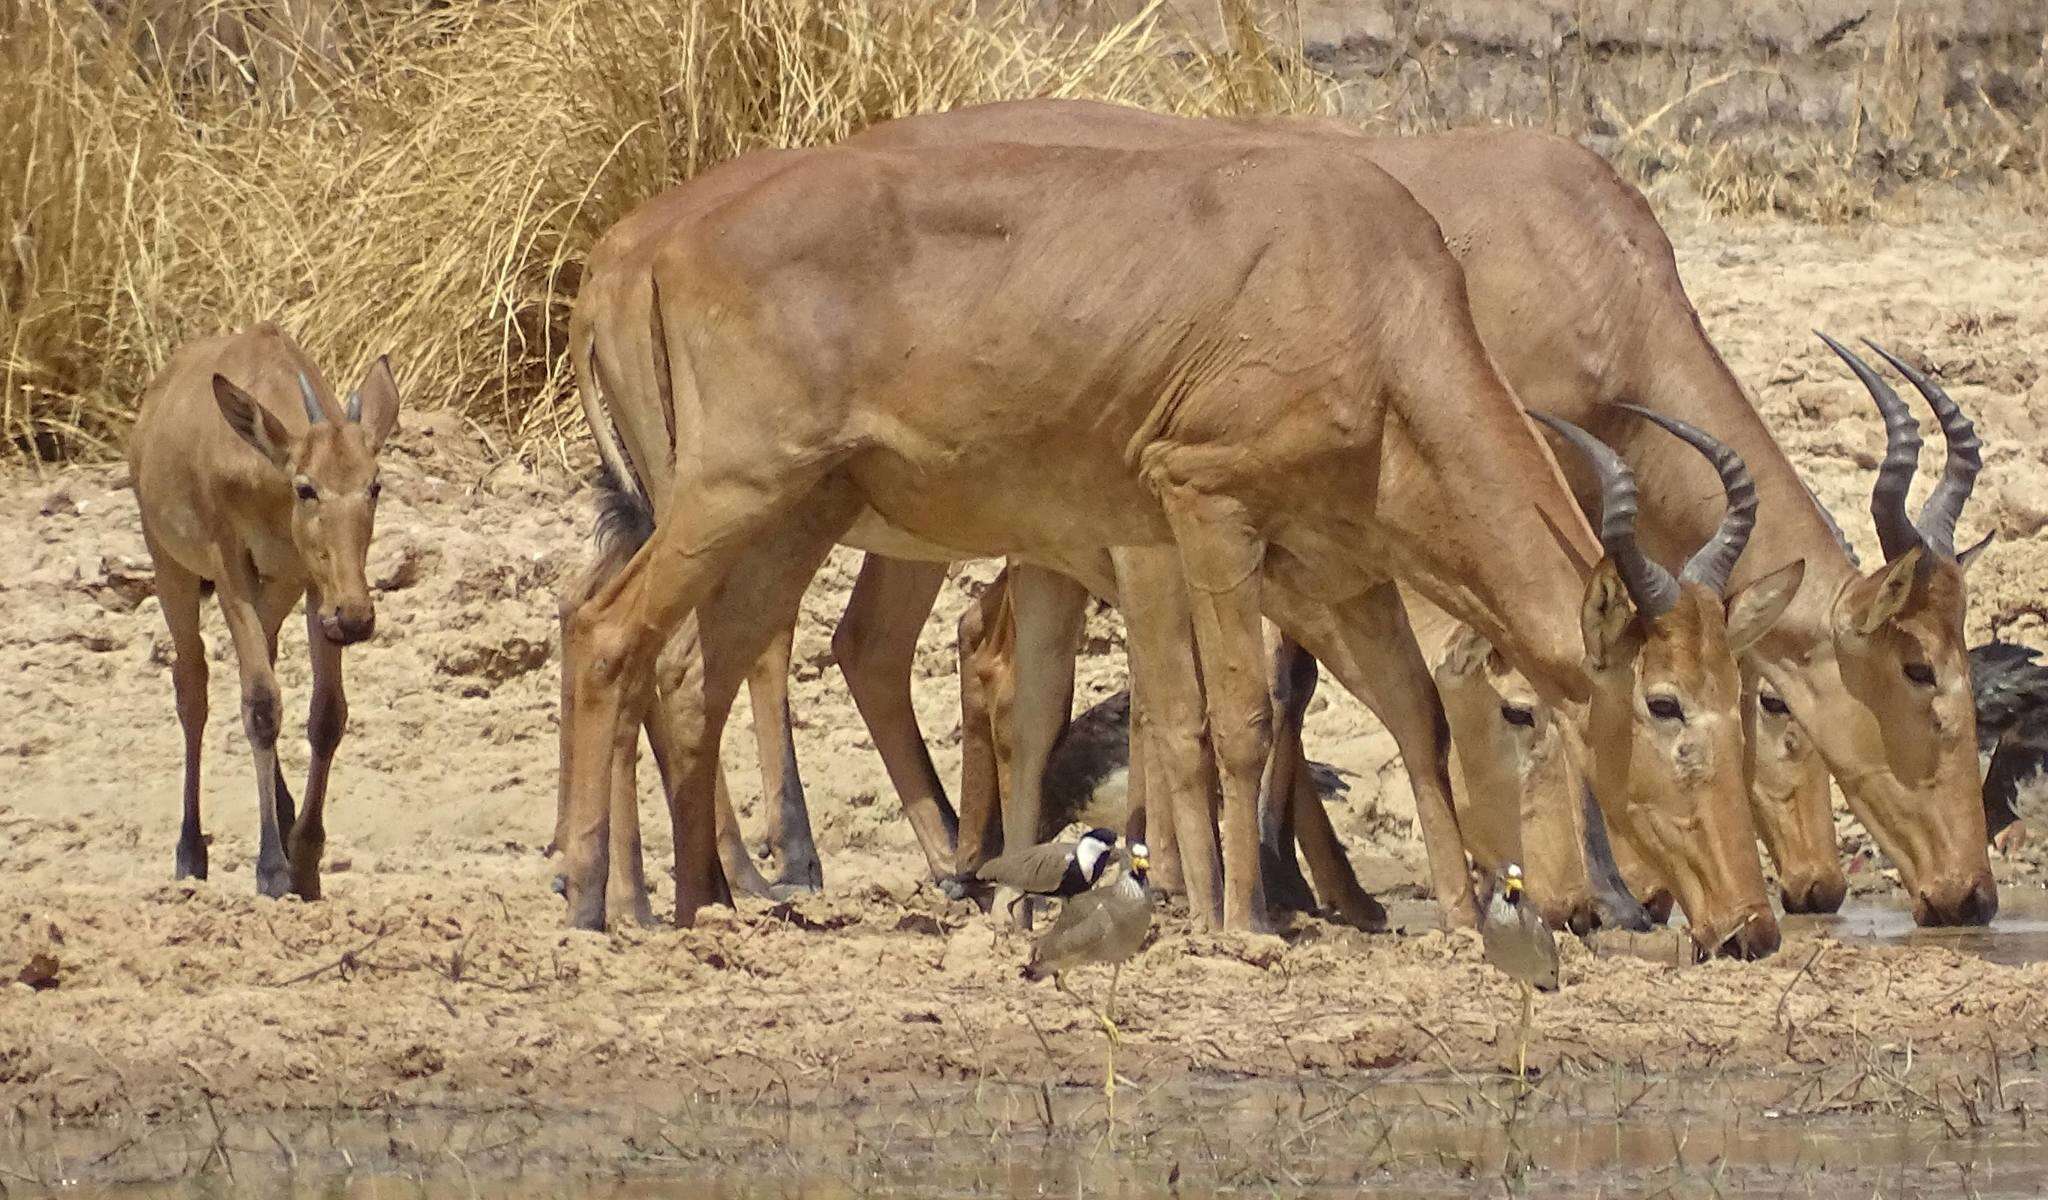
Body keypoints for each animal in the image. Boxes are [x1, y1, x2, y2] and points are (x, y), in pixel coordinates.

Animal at [131, 321, 399, 892]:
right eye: (306, 487)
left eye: (374, 484)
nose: (357, 617)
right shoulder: (230, 567)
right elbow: (259, 705)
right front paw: (272, 869)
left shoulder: (315, 585)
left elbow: (327, 712)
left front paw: (306, 862)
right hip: (170, 566)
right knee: (193, 685)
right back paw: (190, 851)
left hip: (276, 591)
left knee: (264, 667)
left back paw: (283, 811)